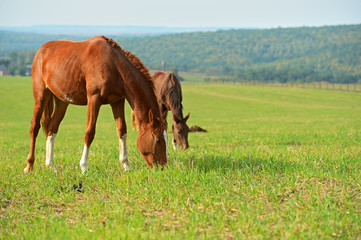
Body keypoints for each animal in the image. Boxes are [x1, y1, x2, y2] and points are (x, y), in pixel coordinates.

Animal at [23, 34, 167, 173]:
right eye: (158, 140)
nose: (163, 167)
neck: (113, 64)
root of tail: (41, 50)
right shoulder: (94, 98)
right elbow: (89, 133)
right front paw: (84, 167)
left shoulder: (117, 101)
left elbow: (122, 130)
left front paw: (126, 165)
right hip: (41, 96)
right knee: (34, 127)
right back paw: (29, 166)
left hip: (62, 102)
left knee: (52, 129)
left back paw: (51, 166)